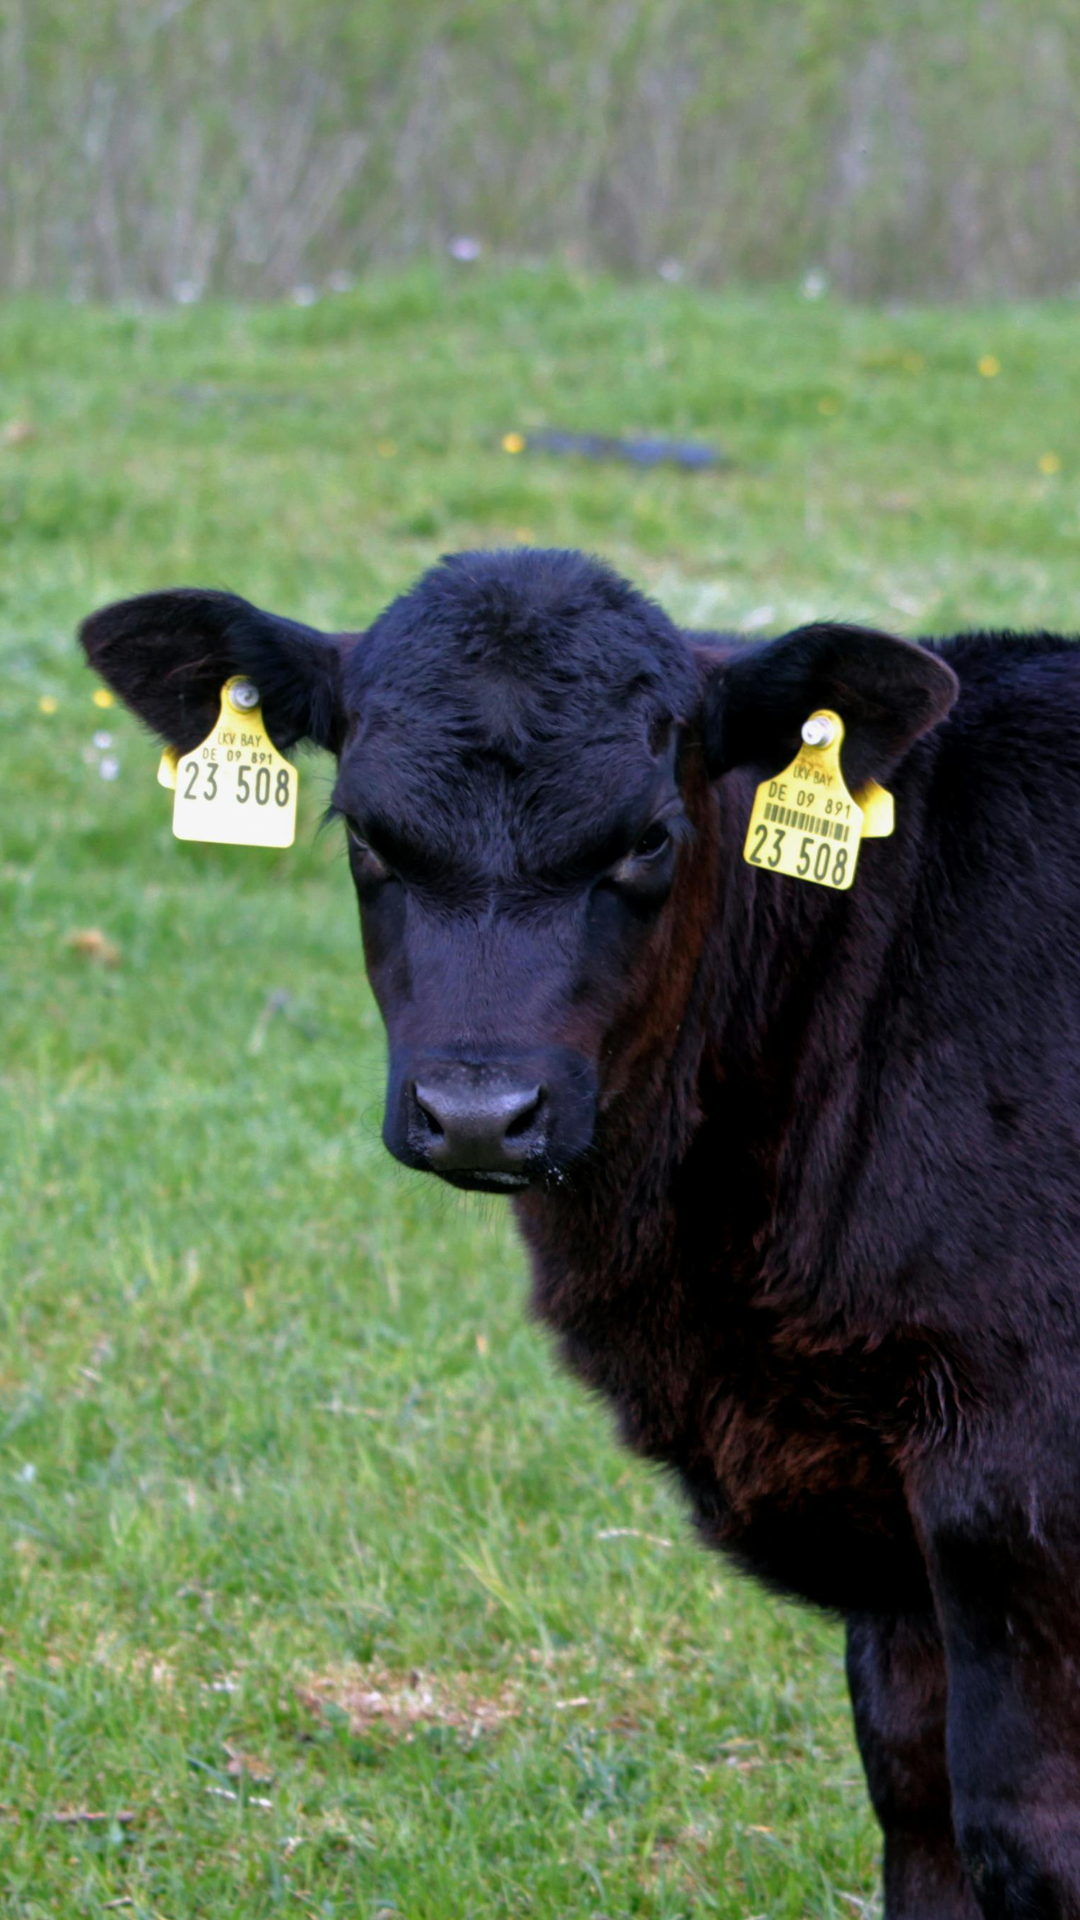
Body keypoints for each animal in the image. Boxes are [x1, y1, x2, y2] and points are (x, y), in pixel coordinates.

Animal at [80, 546, 1080, 1920]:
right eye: (365, 833)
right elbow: (922, 1816)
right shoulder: (897, 1543)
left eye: (649, 836)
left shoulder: (1016, 1491)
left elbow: (1023, 1834)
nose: (479, 1111)